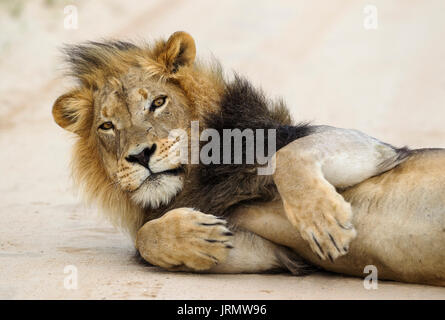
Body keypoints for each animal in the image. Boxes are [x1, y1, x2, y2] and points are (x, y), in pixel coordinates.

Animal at [53, 31, 444, 286]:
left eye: (158, 102)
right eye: (107, 126)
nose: (139, 155)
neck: (198, 178)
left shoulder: (376, 150)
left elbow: (289, 157)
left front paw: (325, 222)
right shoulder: (273, 253)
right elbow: (145, 238)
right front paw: (198, 238)